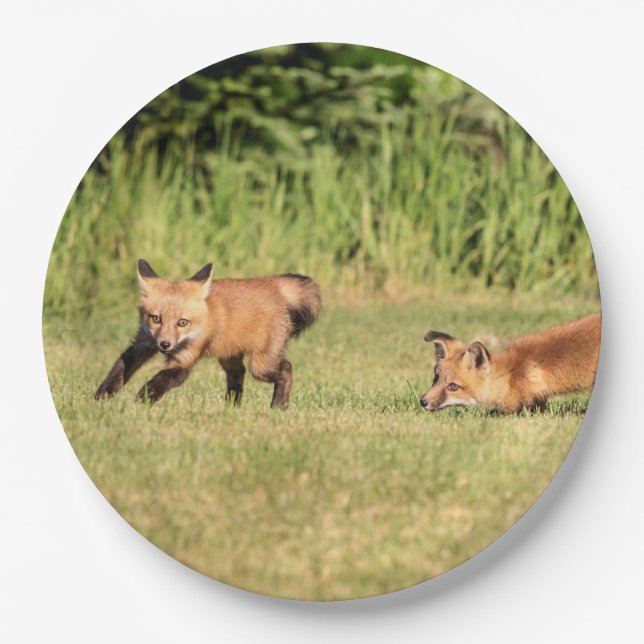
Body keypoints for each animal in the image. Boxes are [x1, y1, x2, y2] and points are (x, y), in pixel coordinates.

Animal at [95, 260, 321, 408]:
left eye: (182, 322)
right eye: (156, 318)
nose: (165, 345)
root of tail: (272, 284)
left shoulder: (185, 359)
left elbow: (161, 380)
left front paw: (141, 400)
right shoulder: (143, 343)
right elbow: (119, 369)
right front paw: (101, 397)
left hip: (261, 366)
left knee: (286, 368)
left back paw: (278, 406)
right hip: (229, 357)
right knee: (238, 374)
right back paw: (231, 408)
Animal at [420, 313, 601, 414]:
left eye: (453, 386)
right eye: (435, 379)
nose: (423, 402)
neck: (509, 375)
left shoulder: (518, 405)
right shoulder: (539, 400)